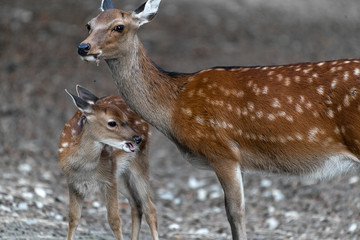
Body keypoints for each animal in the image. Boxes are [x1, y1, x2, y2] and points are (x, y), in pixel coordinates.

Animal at [58, 86, 158, 240]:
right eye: (112, 122)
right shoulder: (72, 181)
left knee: (150, 208)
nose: (137, 138)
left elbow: (114, 220)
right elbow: (73, 218)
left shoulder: (109, 178)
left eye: (126, 119)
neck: (85, 170)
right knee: (136, 204)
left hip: (139, 162)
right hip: (120, 174)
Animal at [79, 0, 360, 238]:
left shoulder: (221, 150)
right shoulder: (238, 158)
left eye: (119, 26)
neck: (175, 107)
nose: (83, 47)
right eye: (89, 24)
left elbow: (234, 212)